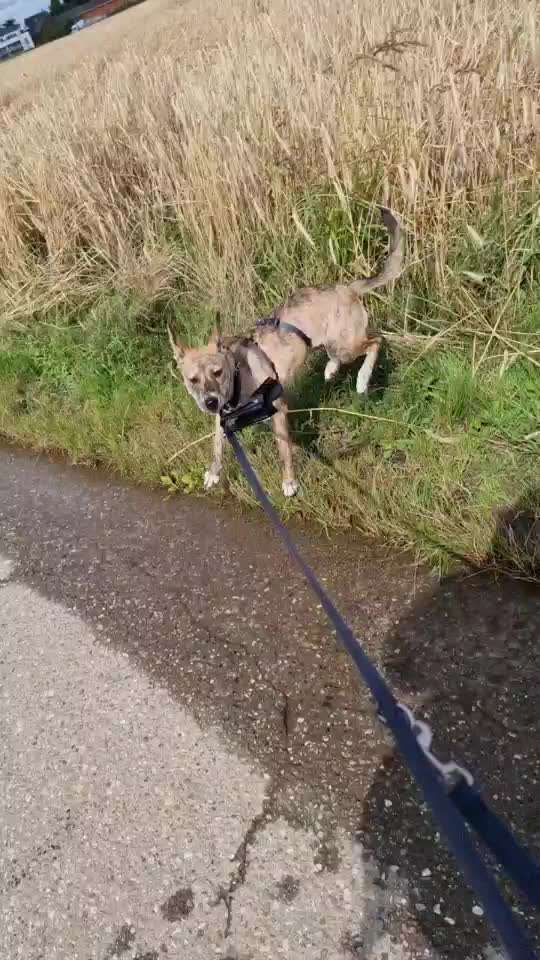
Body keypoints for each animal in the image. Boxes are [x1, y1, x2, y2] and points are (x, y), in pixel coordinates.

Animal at [169, 208, 400, 496]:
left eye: (217, 372)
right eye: (192, 380)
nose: (209, 402)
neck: (238, 378)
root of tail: (347, 287)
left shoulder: (278, 409)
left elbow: (284, 452)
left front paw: (289, 482)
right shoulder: (221, 419)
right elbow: (217, 444)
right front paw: (213, 472)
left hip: (346, 344)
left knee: (377, 341)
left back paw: (362, 378)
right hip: (333, 342)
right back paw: (331, 368)